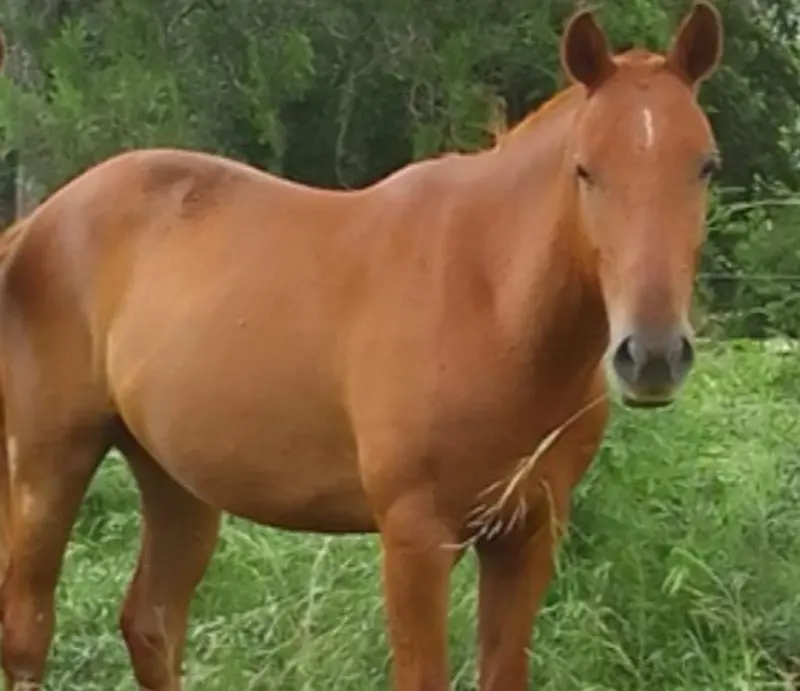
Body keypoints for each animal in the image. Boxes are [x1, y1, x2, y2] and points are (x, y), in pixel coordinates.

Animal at [0, 3, 723, 690]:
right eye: (584, 169)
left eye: (705, 166)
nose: (652, 355)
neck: (488, 300)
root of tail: (37, 223)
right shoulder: (415, 538)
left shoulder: (528, 532)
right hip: (48, 463)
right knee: (29, 628)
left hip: (174, 478)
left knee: (151, 625)